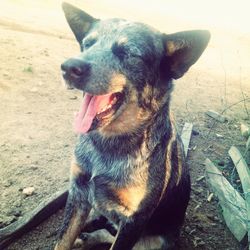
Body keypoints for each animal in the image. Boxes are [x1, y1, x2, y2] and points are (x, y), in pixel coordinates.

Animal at [55, 2, 210, 250]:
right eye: (87, 44)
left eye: (128, 52)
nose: (69, 67)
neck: (107, 146)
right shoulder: (78, 192)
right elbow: (63, 239)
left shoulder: (134, 220)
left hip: (155, 240)